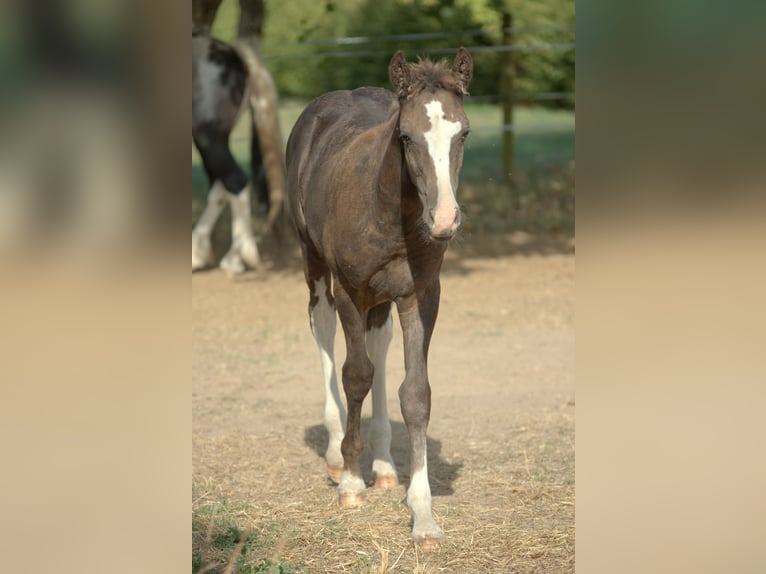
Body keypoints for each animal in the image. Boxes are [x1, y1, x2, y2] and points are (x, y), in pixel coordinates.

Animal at [286, 48, 473, 549]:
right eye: (406, 137)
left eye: (463, 132)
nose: (444, 219)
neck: (392, 211)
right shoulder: (352, 290)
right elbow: (356, 375)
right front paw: (352, 482)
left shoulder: (423, 295)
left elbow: (416, 393)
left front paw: (423, 514)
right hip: (315, 263)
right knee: (322, 327)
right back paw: (337, 456)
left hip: (386, 298)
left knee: (380, 342)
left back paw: (386, 465)